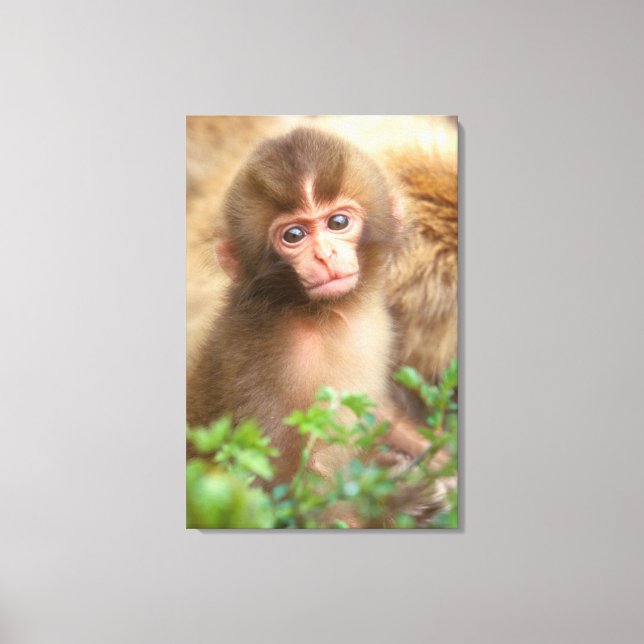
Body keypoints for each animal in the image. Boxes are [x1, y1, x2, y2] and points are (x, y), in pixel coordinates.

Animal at [187, 127, 432, 488]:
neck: (326, 316)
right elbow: (277, 480)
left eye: (338, 222)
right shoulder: (275, 362)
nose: (324, 256)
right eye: (294, 235)